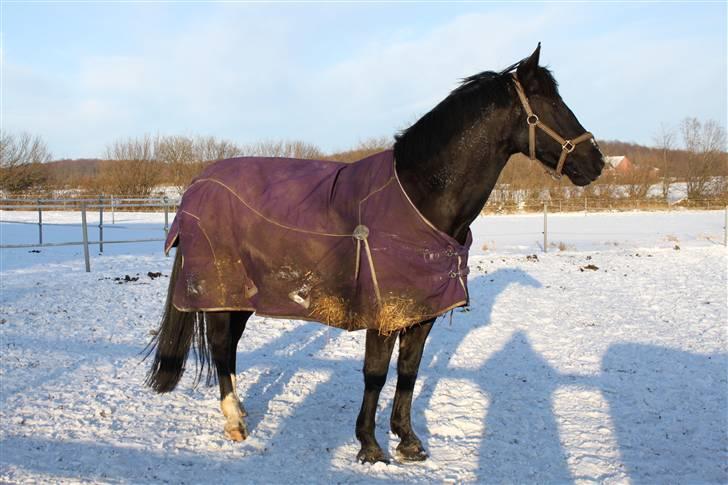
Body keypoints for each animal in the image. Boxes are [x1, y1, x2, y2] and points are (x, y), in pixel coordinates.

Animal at [146, 44, 604, 462]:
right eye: (549, 103)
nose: (596, 162)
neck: (420, 196)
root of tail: (197, 184)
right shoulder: (383, 311)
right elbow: (375, 375)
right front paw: (369, 445)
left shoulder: (420, 312)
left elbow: (408, 373)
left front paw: (409, 441)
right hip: (222, 292)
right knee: (222, 346)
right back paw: (235, 423)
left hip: (241, 296)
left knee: (230, 348)